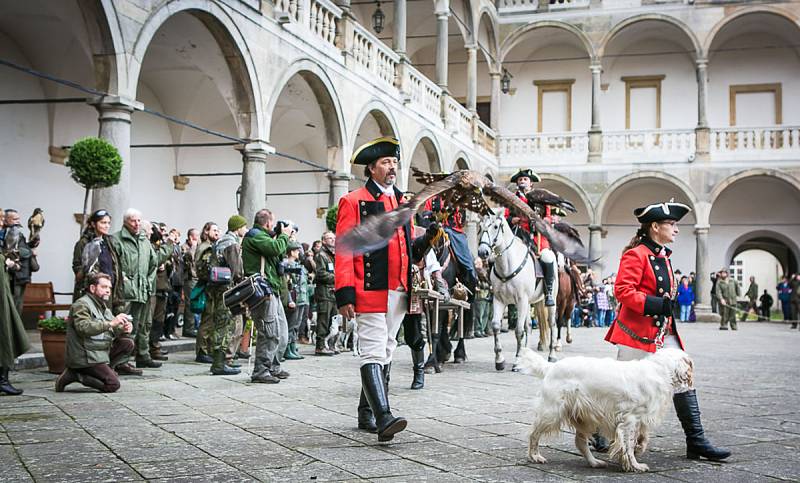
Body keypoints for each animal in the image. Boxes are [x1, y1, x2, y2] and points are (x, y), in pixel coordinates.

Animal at [478, 214, 560, 368]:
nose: (482, 252)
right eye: (480, 226)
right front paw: (500, 360)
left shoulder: (521, 300)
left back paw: (552, 355)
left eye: (495, 226)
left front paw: (517, 361)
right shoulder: (499, 300)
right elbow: (496, 326)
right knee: (529, 325)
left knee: (552, 323)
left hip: (549, 301)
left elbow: (519, 330)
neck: (507, 265)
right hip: (527, 303)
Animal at [520, 348, 692, 472]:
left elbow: (642, 439)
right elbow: (628, 445)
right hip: (552, 413)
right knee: (533, 434)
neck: (658, 370)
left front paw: (637, 451)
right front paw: (635, 465)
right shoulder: (630, 420)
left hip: (584, 419)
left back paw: (595, 462)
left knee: (580, 443)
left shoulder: (641, 420)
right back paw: (535, 456)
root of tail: (551, 366)